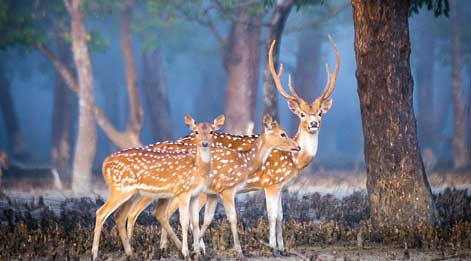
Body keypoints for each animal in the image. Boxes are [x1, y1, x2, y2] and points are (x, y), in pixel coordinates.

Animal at [93, 115, 226, 258]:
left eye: (212, 131)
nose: (205, 143)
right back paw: (95, 254)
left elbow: (195, 222)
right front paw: (186, 253)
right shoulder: (183, 191)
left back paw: (130, 253)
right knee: (101, 212)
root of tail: (104, 164)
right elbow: (184, 221)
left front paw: (196, 252)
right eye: (196, 132)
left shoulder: (195, 195)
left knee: (120, 216)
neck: (197, 169)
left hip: (133, 194)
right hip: (119, 189)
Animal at [120, 114, 300, 258]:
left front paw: (197, 248)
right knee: (138, 211)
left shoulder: (213, 193)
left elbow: (205, 219)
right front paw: (240, 251)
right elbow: (233, 218)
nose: (297, 147)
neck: (245, 162)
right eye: (283, 133)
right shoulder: (227, 189)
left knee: (155, 212)